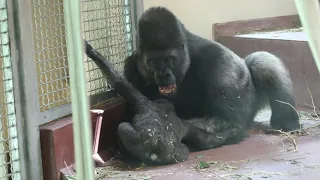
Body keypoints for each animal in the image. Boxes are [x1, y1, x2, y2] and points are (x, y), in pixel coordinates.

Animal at [84, 40, 239, 165]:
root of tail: (161, 155)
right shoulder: (186, 125)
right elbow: (207, 140)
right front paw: (233, 131)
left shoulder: (139, 99)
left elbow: (117, 80)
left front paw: (90, 50)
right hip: (181, 154)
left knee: (122, 127)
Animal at [122, 6, 300, 148]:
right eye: (152, 62)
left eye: (170, 60)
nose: (162, 74)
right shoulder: (131, 67)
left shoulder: (216, 60)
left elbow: (226, 119)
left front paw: (173, 125)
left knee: (261, 61)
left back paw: (287, 122)